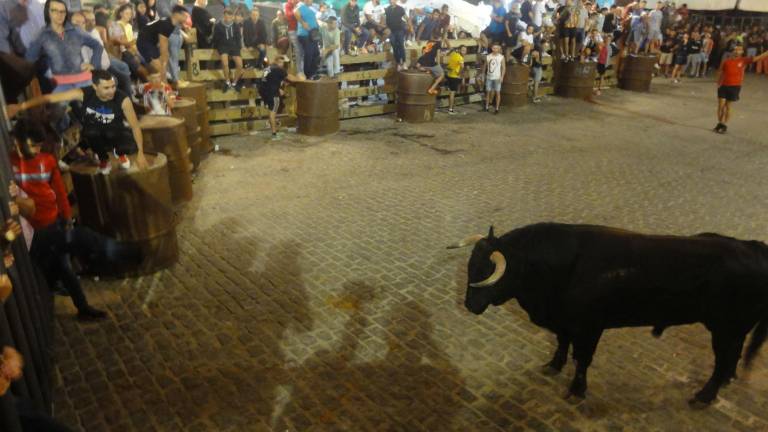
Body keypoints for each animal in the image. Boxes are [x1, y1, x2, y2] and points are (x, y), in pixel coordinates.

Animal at [452, 224, 768, 406]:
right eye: (470, 266)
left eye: (487, 271)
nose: (469, 305)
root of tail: (752, 247)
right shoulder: (564, 322)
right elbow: (561, 343)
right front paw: (553, 365)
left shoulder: (589, 328)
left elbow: (582, 359)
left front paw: (577, 390)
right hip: (734, 329)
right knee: (733, 355)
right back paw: (726, 381)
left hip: (725, 328)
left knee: (723, 359)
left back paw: (705, 396)